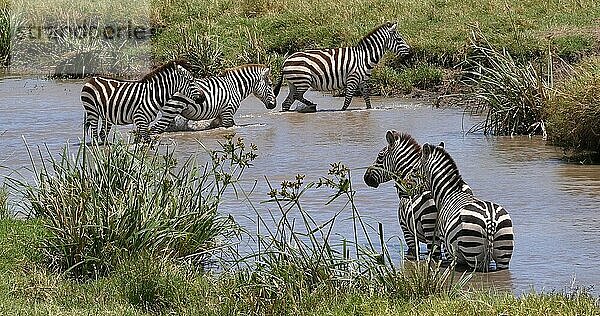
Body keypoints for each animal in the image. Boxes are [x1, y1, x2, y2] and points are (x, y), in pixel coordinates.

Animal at [274, 21, 410, 112]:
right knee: (297, 96)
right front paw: (342, 112)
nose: (410, 51)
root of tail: (286, 60)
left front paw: (369, 111)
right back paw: (312, 105)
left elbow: (367, 99)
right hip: (303, 80)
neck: (364, 57)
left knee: (287, 102)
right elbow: (348, 100)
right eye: (399, 39)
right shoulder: (352, 78)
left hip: (293, 83)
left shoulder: (362, 81)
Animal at [420, 142, 512, 270]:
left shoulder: (447, 247)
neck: (448, 193)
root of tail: (491, 219)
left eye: (416, 168)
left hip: (473, 252)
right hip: (503, 252)